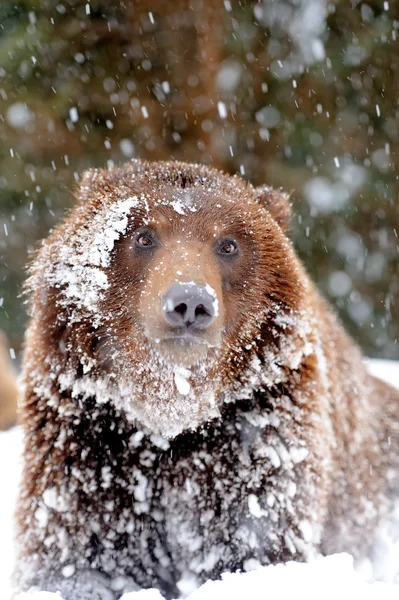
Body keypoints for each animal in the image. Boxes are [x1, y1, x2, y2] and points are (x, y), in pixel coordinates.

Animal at [12, 159, 399, 600]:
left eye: (227, 244)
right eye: (143, 235)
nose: (190, 302)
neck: (170, 412)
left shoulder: (258, 424)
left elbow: (255, 537)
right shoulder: (89, 431)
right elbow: (75, 548)